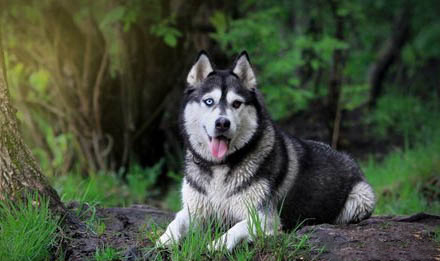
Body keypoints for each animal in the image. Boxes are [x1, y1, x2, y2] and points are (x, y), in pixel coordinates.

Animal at [156, 50, 372, 250]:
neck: (220, 166)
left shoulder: (264, 217)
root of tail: (345, 156)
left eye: (236, 103)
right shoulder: (194, 210)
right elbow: (176, 222)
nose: (222, 123)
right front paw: (165, 239)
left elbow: (235, 229)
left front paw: (216, 245)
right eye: (209, 101)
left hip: (362, 199)